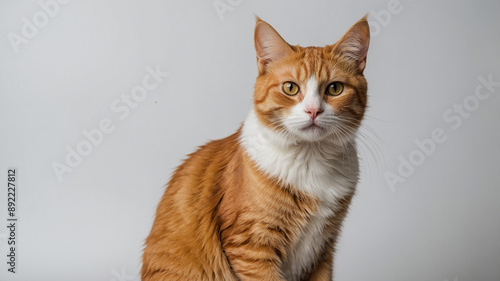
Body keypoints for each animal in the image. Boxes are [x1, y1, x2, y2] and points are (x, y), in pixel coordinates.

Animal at [143, 15, 370, 280]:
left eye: (334, 88)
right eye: (290, 88)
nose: (313, 111)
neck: (310, 159)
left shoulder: (323, 248)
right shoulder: (252, 244)